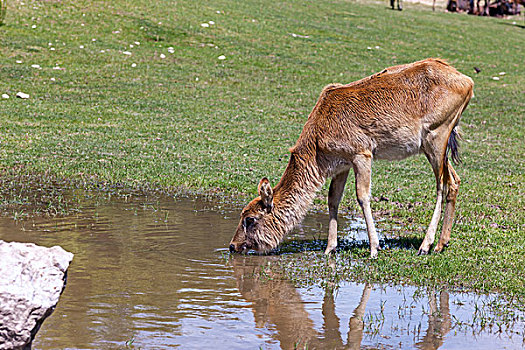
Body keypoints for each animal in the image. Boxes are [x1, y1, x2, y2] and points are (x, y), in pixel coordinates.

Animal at [227, 58, 472, 258]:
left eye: (250, 219)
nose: (232, 245)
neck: (317, 150)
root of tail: (468, 82)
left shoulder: (361, 153)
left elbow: (362, 196)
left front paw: (374, 248)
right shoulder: (341, 165)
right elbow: (333, 198)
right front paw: (330, 248)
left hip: (437, 135)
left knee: (441, 184)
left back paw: (425, 245)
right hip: (440, 143)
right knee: (454, 180)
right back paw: (441, 244)